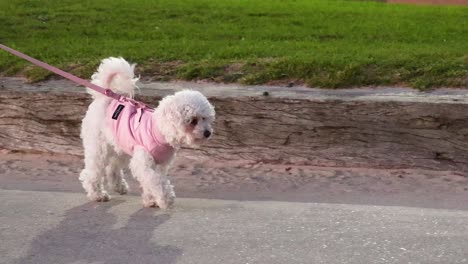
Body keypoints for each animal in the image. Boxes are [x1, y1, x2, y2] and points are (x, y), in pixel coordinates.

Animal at [79, 57, 216, 208]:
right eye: (193, 120)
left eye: (205, 118)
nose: (208, 133)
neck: (159, 131)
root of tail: (105, 98)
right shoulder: (144, 163)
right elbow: (156, 181)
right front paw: (165, 199)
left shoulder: (160, 164)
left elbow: (151, 182)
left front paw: (151, 200)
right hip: (99, 147)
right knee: (92, 172)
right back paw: (97, 194)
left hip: (120, 146)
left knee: (112, 168)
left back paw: (118, 186)